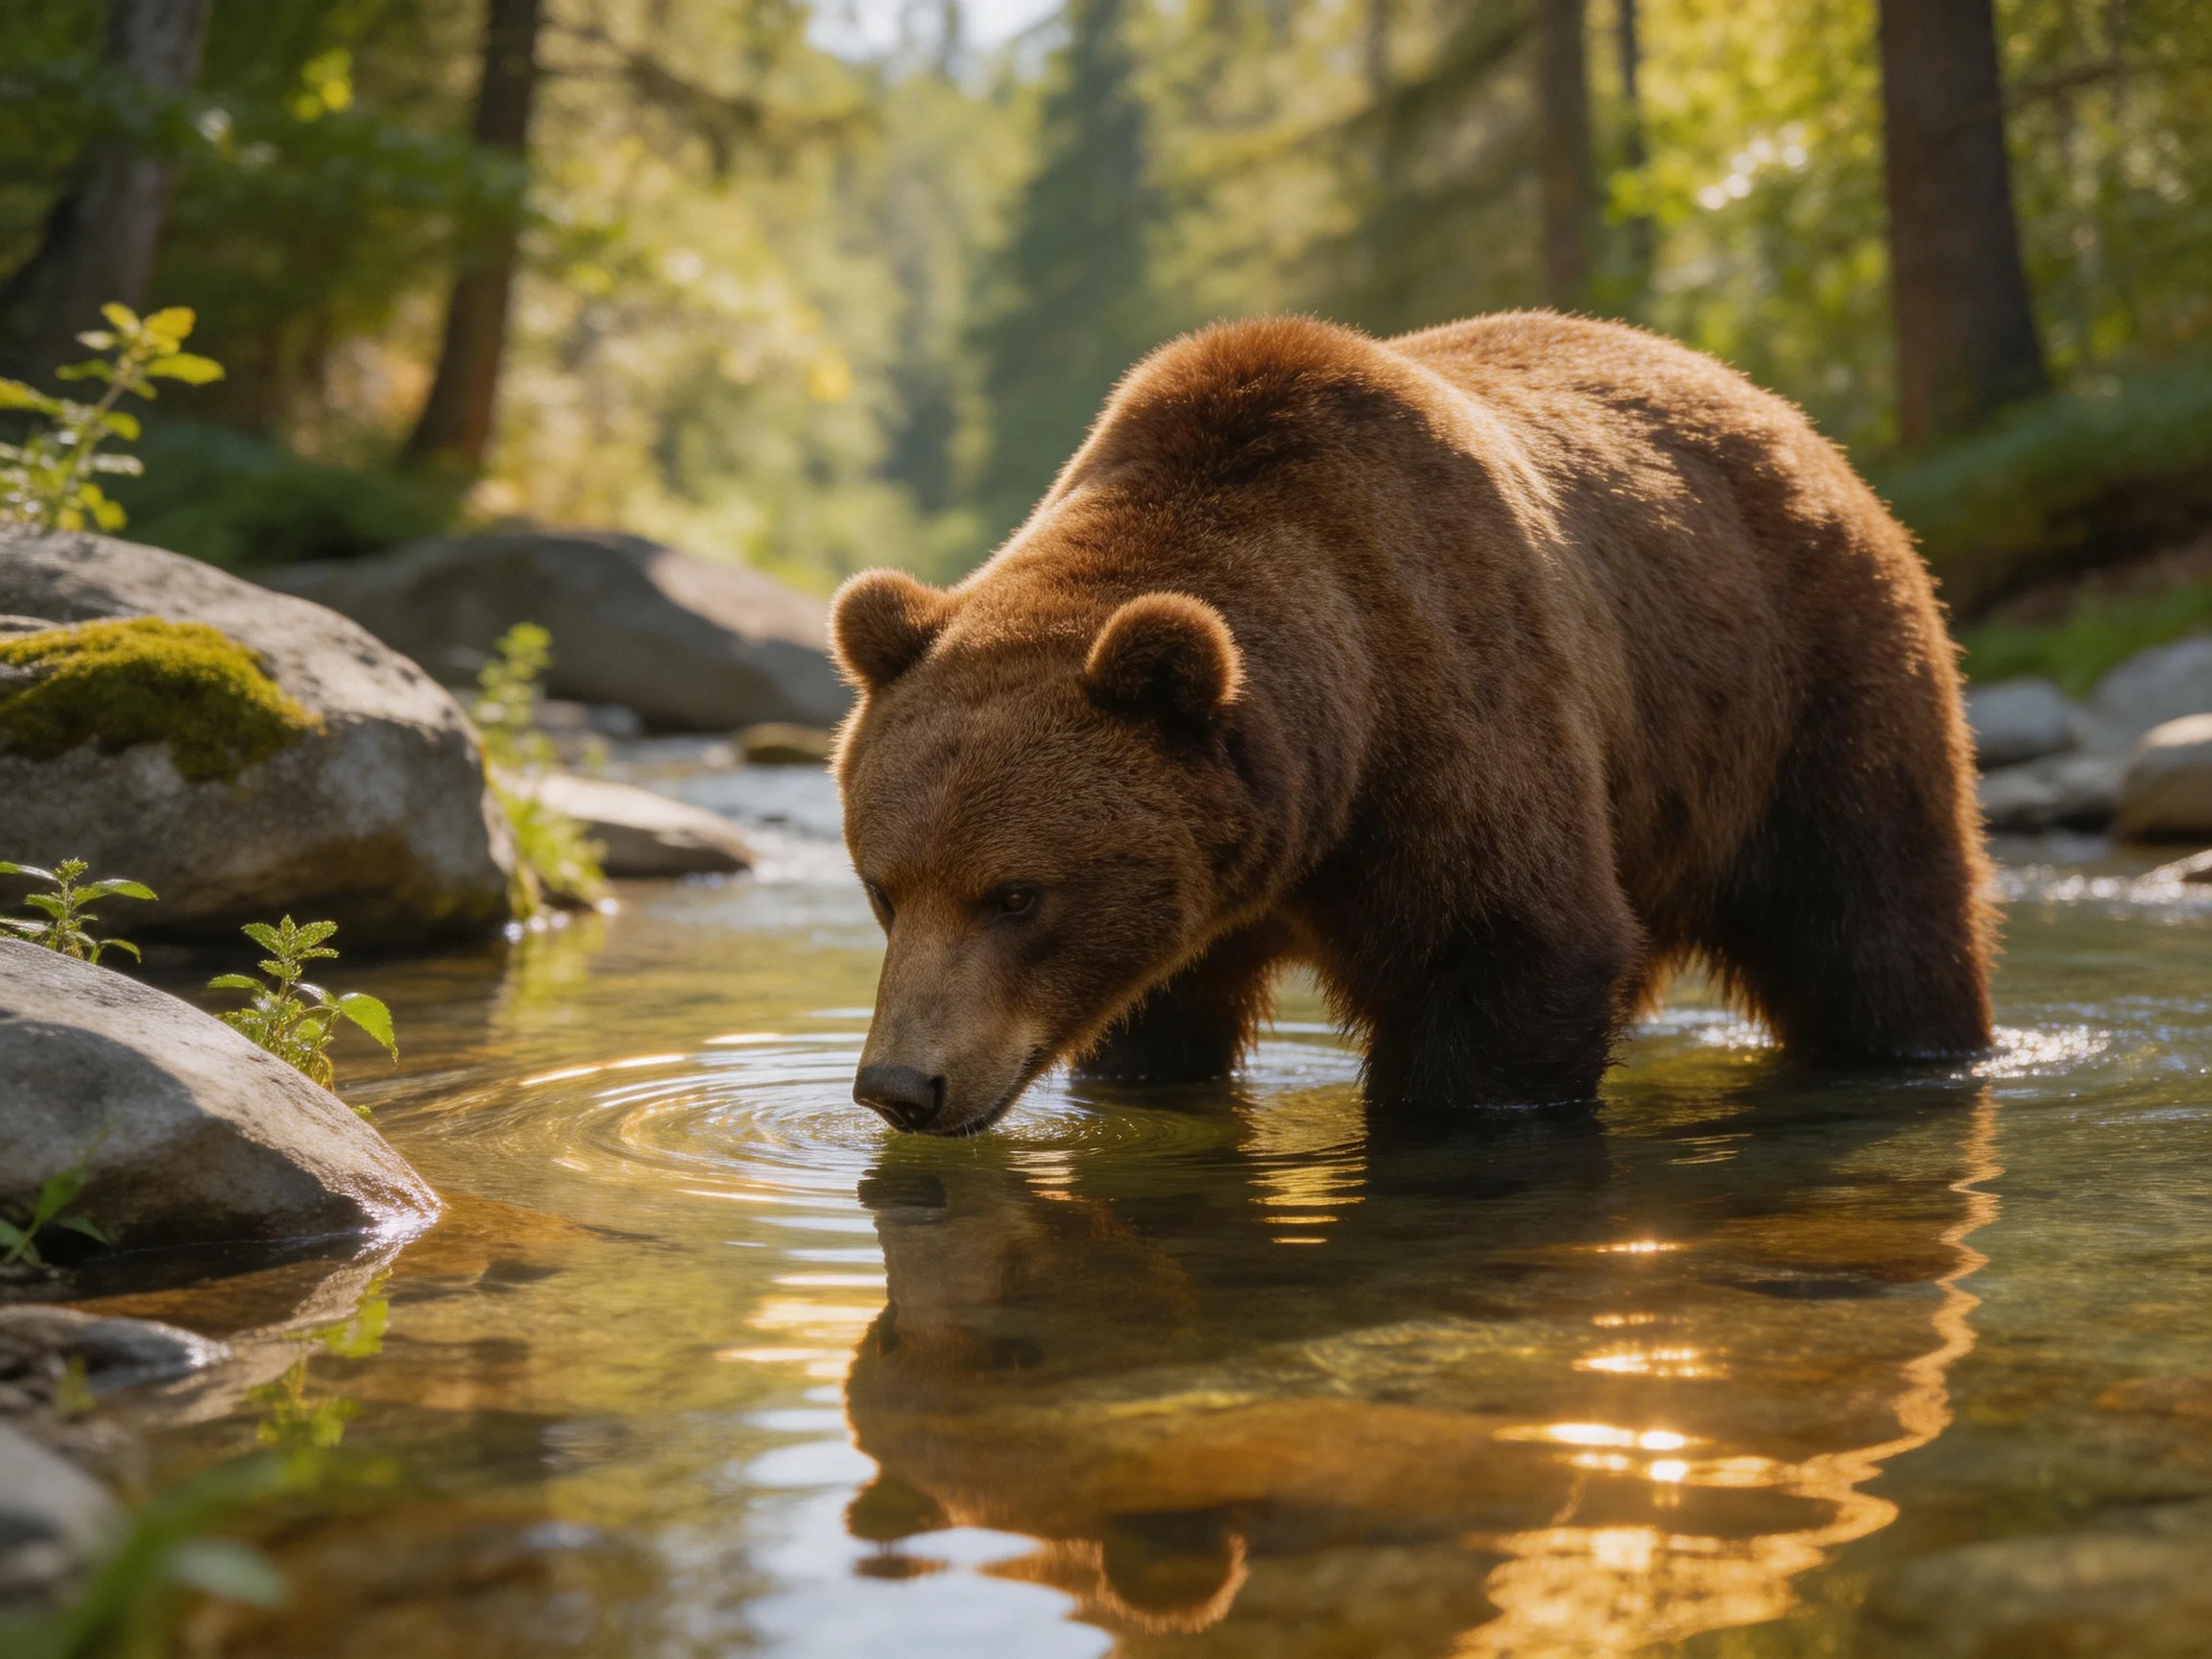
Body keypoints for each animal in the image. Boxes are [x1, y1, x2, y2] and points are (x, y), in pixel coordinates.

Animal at [830, 311, 1994, 1136]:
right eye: (884, 889)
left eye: (1016, 895)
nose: (901, 1085)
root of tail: (1801, 429)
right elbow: (1159, 1022)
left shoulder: (1453, 714)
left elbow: (1509, 951)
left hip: (1806, 687)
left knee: (1872, 919)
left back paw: (1916, 1045)